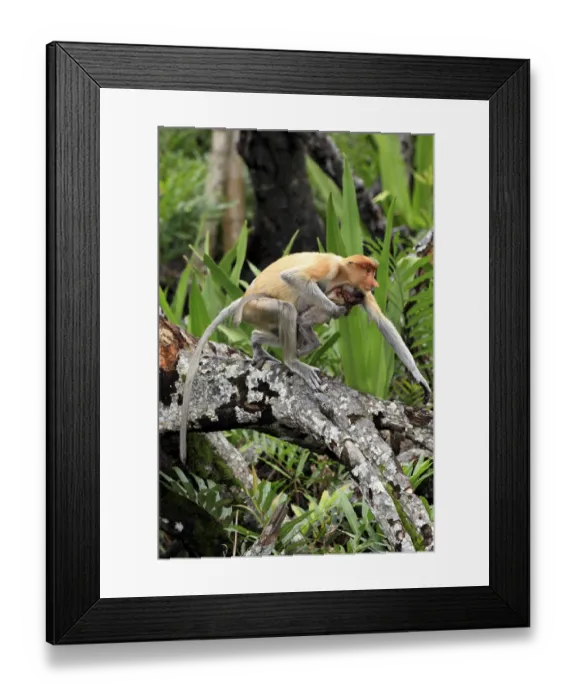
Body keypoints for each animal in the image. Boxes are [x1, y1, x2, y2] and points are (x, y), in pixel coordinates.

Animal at [178, 252, 430, 464]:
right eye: (367, 271)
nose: (374, 283)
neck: (341, 275)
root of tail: (244, 298)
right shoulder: (328, 267)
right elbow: (293, 277)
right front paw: (334, 309)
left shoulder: (362, 292)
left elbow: (382, 322)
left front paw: (420, 378)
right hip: (256, 309)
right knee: (288, 309)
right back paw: (291, 359)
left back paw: (266, 342)